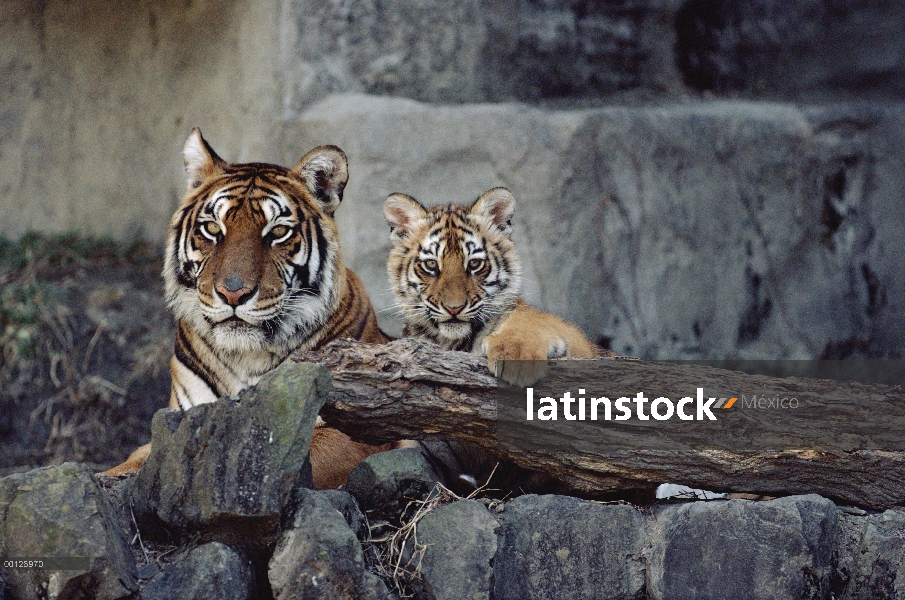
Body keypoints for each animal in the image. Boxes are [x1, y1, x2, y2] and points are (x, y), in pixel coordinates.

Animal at [102, 127, 392, 488]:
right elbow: (138, 458)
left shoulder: (357, 434)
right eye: (213, 228)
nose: (232, 294)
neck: (246, 357)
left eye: (278, 232)